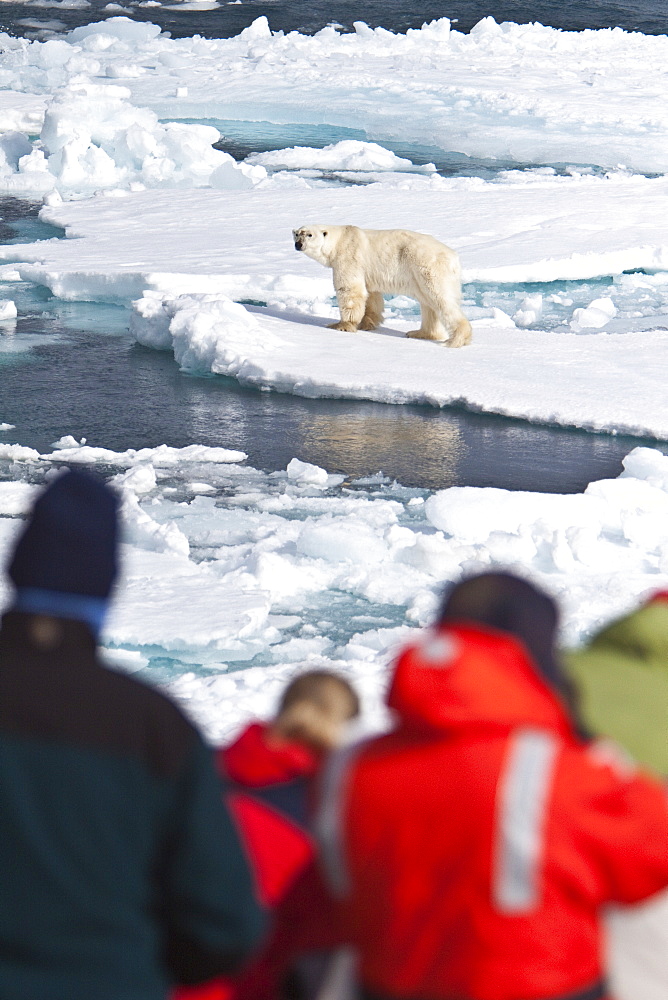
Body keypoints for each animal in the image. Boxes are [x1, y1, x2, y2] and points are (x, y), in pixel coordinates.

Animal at [294, 223, 472, 348]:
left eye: (309, 235)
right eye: (296, 234)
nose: (298, 245)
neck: (340, 240)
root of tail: (454, 257)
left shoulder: (348, 257)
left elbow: (350, 290)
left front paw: (341, 325)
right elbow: (371, 295)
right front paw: (367, 323)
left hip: (427, 266)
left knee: (441, 299)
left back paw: (456, 340)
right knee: (428, 303)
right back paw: (419, 333)